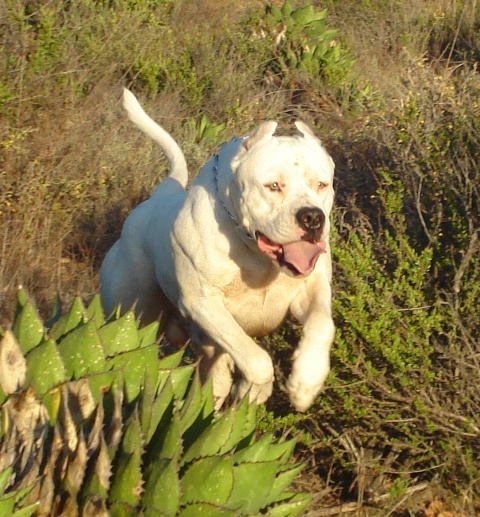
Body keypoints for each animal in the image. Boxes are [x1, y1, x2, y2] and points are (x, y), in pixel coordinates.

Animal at [100, 89, 336, 412]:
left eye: (322, 184)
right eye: (273, 185)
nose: (312, 217)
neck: (255, 254)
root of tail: (160, 194)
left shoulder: (310, 290)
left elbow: (323, 325)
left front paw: (305, 383)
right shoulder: (203, 303)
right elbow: (257, 359)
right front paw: (255, 390)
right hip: (132, 315)